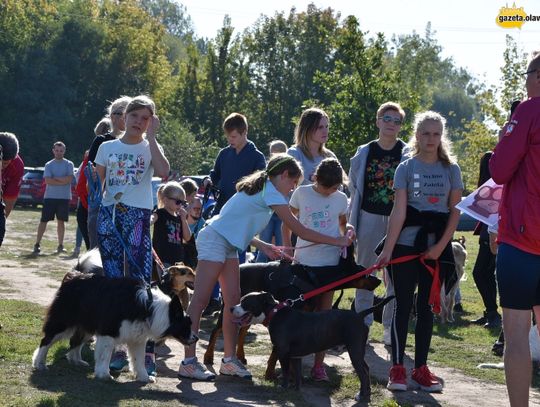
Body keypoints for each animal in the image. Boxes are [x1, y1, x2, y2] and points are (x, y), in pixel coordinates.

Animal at [231, 292, 392, 404]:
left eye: (245, 303)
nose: (232, 307)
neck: (274, 313)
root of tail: (359, 315)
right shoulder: (295, 356)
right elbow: (296, 375)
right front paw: (296, 390)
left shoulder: (283, 352)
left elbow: (285, 371)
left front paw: (283, 387)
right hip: (357, 351)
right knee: (366, 369)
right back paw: (367, 393)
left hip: (354, 351)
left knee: (363, 373)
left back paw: (361, 396)